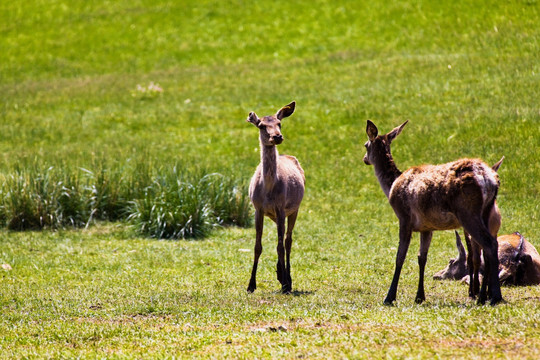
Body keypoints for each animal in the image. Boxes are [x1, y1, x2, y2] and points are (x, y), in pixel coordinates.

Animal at [245, 100, 304, 292]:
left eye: (279, 123)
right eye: (262, 125)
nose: (277, 137)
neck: (268, 190)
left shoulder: (281, 207)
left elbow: (280, 245)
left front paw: (286, 283)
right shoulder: (258, 208)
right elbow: (257, 246)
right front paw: (251, 285)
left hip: (294, 209)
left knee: (287, 240)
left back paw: (287, 279)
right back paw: (280, 274)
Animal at [362, 119, 506, 306]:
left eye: (366, 145)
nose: (364, 159)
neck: (392, 186)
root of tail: (489, 179)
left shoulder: (404, 218)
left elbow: (400, 257)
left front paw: (389, 297)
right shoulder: (426, 227)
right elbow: (422, 258)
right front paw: (419, 296)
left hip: (468, 212)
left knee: (488, 244)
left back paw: (490, 296)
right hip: (487, 214)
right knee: (486, 249)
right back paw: (487, 295)